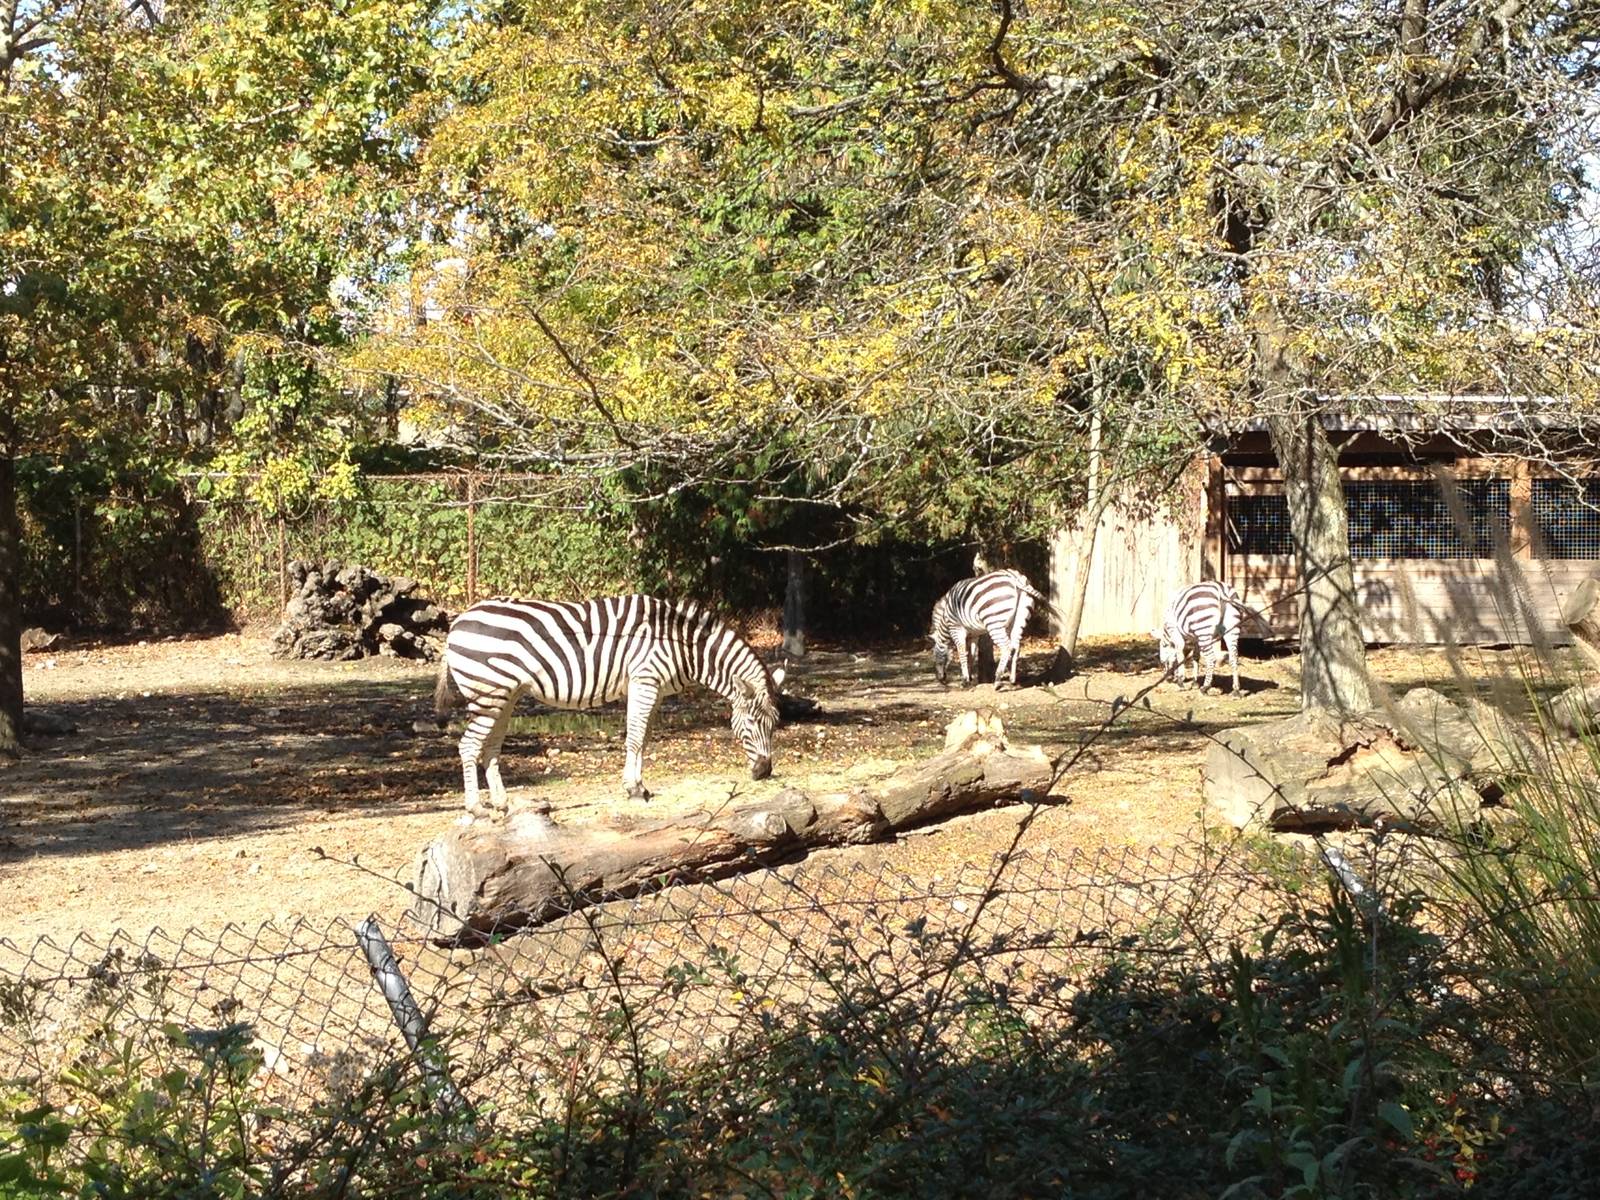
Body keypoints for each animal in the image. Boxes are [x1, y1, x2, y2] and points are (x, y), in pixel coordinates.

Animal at [434, 595, 785, 816]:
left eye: (774, 724)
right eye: (751, 724)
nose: (764, 772)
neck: (680, 643)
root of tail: (460, 619)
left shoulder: (651, 689)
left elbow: (643, 738)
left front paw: (639, 787)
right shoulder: (644, 680)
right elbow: (635, 738)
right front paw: (634, 790)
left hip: (505, 696)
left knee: (490, 747)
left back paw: (502, 803)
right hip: (489, 694)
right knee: (468, 746)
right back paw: (477, 808)